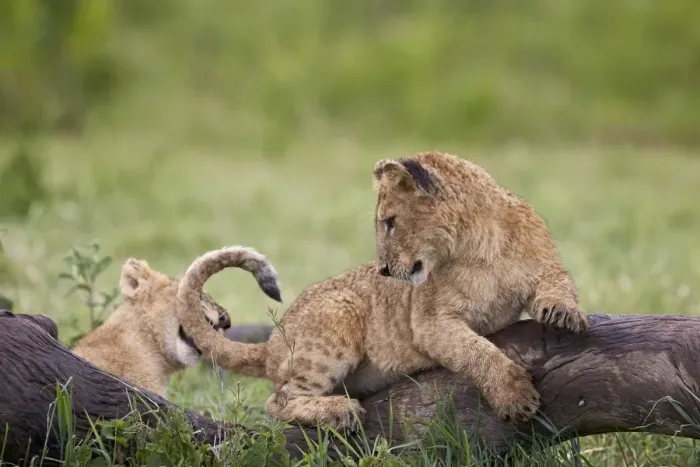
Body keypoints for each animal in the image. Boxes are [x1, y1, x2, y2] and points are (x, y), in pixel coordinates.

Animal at [177, 151, 587, 430]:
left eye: (389, 222)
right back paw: (338, 411)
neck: (479, 247)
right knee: (278, 401)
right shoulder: (430, 323)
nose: (383, 270)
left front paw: (564, 313)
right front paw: (515, 398)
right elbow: (479, 352)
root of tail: (273, 343)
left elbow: (560, 283)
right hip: (338, 312)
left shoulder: (546, 265)